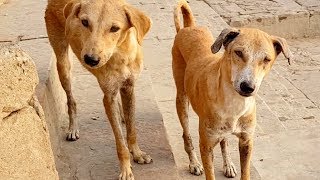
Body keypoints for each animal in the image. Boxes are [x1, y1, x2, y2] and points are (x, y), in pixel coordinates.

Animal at [44, 0, 152, 179]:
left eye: (114, 28)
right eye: (84, 22)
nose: (90, 60)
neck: (120, 54)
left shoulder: (129, 88)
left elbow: (132, 130)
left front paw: (137, 153)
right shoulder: (108, 96)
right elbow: (120, 141)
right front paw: (126, 169)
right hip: (62, 64)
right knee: (71, 100)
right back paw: (73, 128)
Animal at [172, 0, 292, 179]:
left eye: (266, 59)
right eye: (238, 52)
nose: (248, 87)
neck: (234, 103)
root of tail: (189, 27)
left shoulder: (247, 141)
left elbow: (245, 171)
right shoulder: (206, 145)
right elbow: (210, 172)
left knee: (224, 141)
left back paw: (228, 164)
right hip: (182, 99)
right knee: (186, 135)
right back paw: (194, 163)